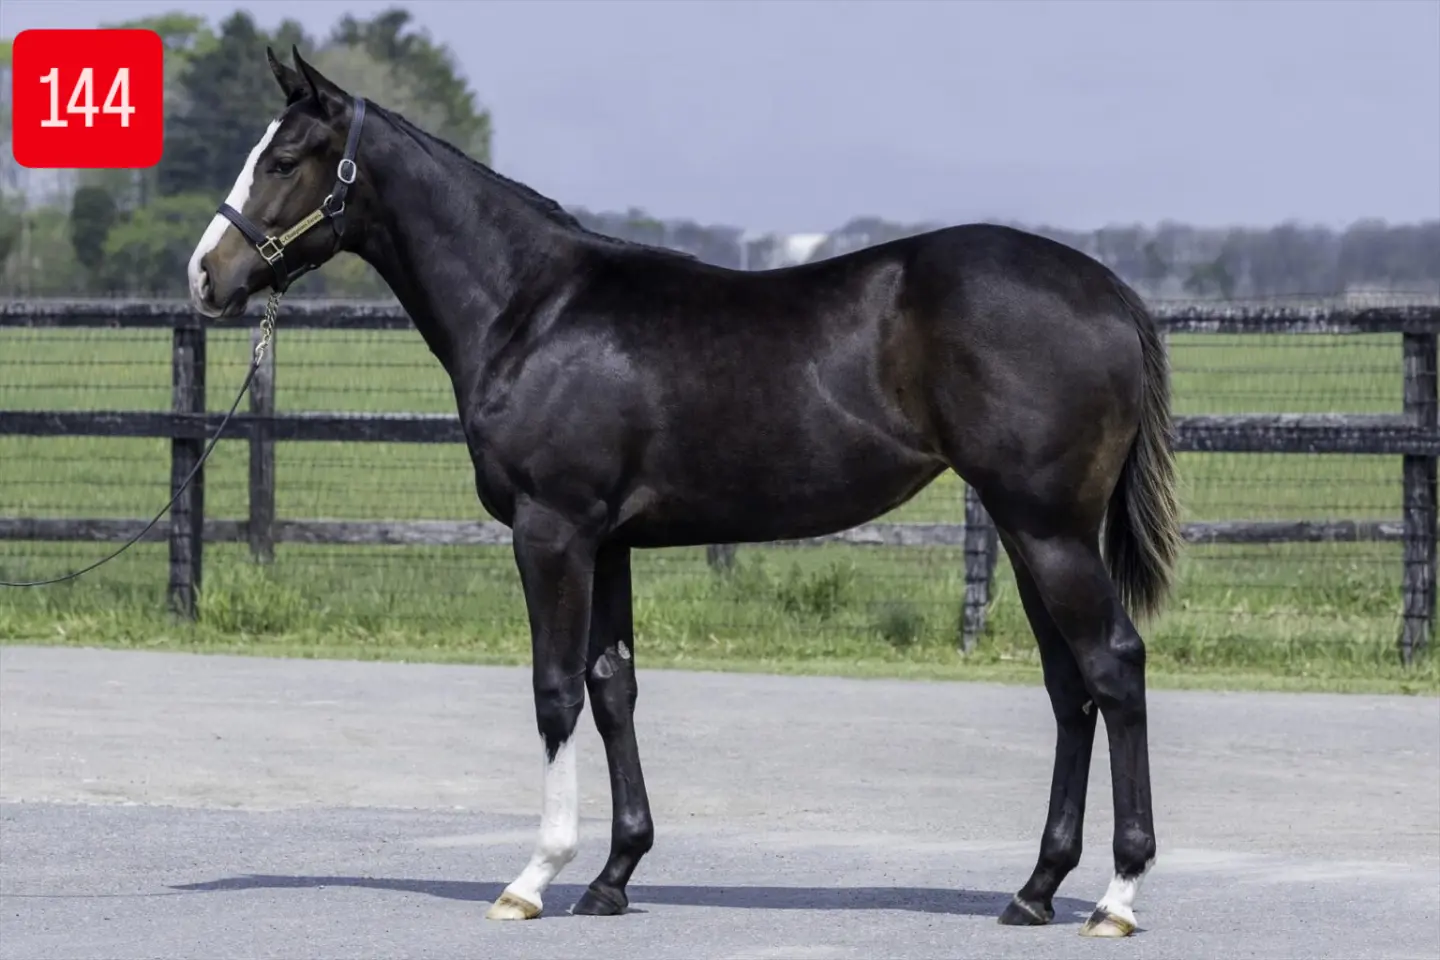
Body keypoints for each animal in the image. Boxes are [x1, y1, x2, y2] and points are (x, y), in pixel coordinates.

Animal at [187, 47, 1181, 939]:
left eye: (283, 160)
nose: (206, 276)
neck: (531, 309)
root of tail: (1110, 290)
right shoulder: (609, 542)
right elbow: (612, 688)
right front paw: (614, 875)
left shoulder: (552, 532)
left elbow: (555, 691)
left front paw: (534, 877)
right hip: (1025, 529)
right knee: (1068, 687)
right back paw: (1036, 889)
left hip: (1047, 529)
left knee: (1113, 666)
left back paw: (1118, 898)